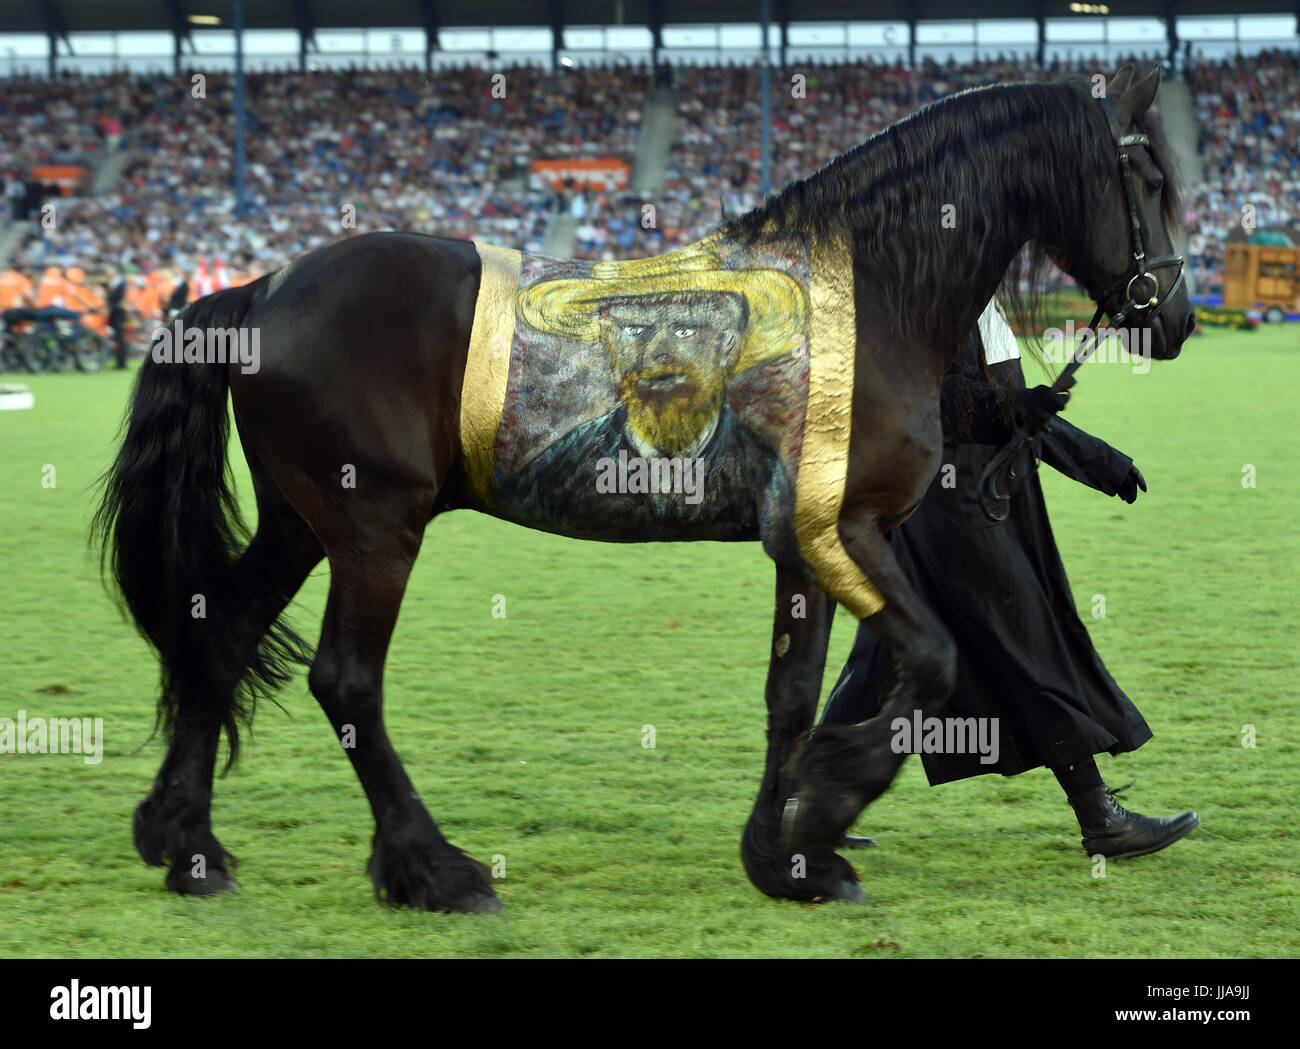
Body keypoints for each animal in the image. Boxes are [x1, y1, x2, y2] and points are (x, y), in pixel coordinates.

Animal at [91, 69, 1190, 915]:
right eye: (1147, 177)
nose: (1174, 314)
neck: (865, 291)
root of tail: (261, 287)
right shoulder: (846, 529)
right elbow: (930, 659)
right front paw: (830, 803)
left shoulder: (805, 543)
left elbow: (791, 694)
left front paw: (787, 853)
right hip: (374, 526)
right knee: (345, 679)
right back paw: (433, 869)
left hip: (301, 519)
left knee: (224, 630)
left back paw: (189, 844)